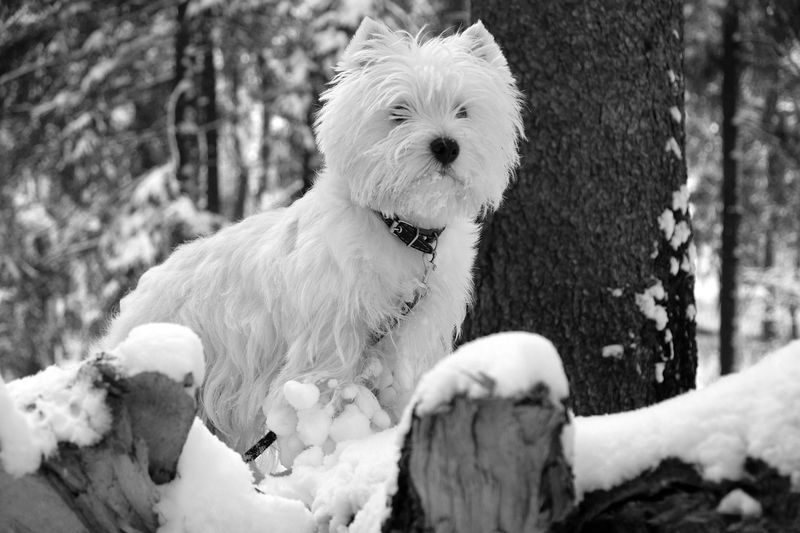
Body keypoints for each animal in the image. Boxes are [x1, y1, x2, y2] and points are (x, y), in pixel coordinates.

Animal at [101, 18, 524, 456]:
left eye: (463, 110)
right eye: (398, 111)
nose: (446, 146)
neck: (401, 230)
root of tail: (142, 291)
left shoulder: (408, 340)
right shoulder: (331, 338)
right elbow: (325, 399)